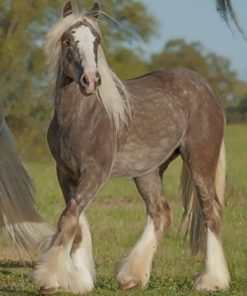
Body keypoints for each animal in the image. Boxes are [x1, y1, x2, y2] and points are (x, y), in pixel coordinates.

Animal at [32, 1, 230, 294]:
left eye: (96, 41)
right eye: (68, 40)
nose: (91, 80)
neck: (81, 118)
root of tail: (207, 88)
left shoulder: (95, 174)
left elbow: (69, 218)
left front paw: (50, 278)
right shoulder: (65, 173)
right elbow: (76, 221)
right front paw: (78, 280)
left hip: (200, 161)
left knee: (211, 213)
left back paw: (211, 281)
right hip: (148, 171)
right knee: (161, 214)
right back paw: (132, 277)